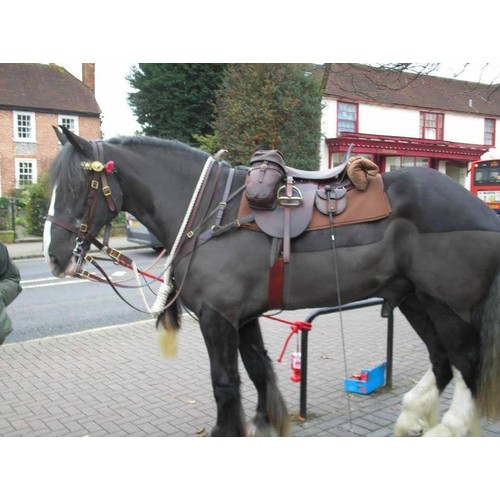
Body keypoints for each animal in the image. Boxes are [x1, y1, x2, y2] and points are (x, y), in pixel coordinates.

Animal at [44, 127, 500, 436]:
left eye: (79, 185)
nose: (54, 255)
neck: (209, 213)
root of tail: (480, 212)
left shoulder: (217, 319)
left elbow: (225, 384)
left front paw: (228, 431)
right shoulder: (243, 317)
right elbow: (259, 370)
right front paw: (266, 422)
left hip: (447, 305)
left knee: (466, 363)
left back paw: (451, 428)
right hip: (414, 298)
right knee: (442, 361)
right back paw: (412, 417)